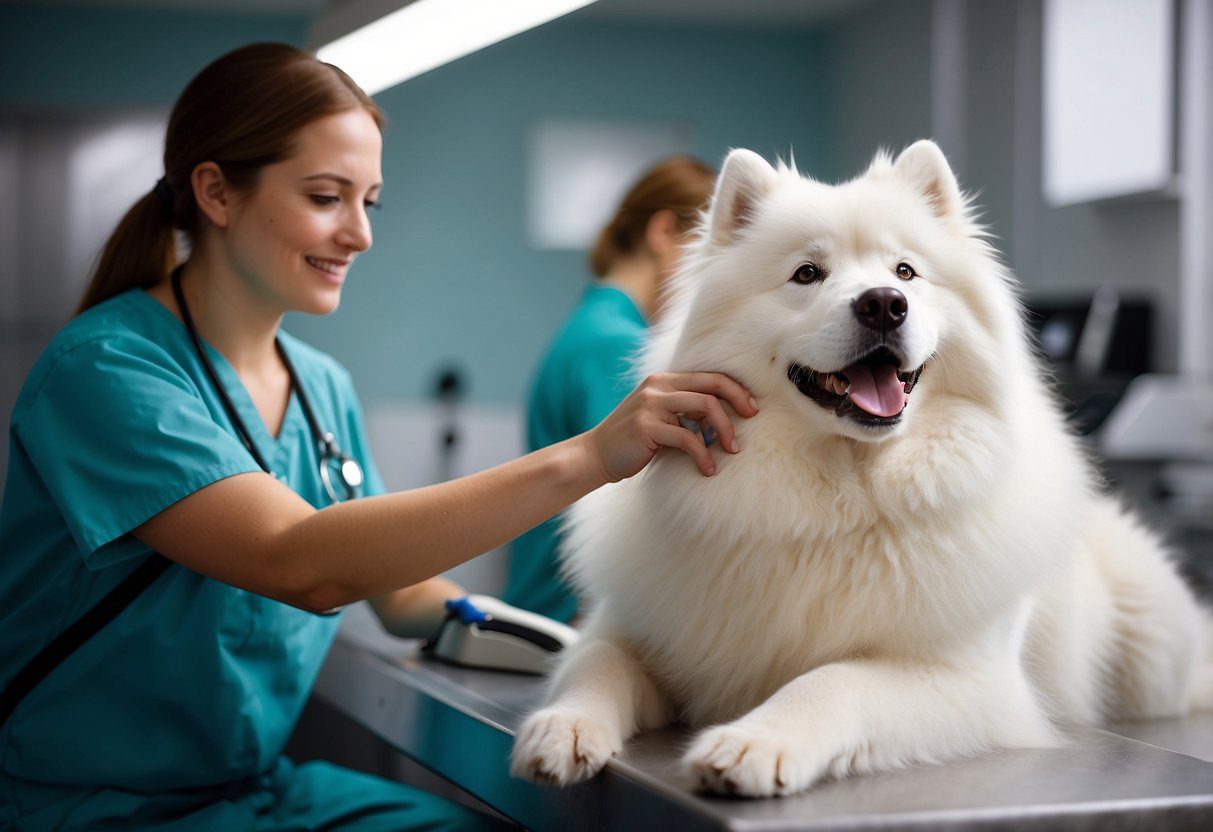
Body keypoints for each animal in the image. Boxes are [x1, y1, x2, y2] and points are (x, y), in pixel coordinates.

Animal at [511, 143, 1213, 800]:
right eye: (807, 273)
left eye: (905, 271)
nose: (883, 304)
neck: (844, 494)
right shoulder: (633, 628)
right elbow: (596, 662)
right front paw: (561, 728)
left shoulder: (967, 680)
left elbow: (833, 680)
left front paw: (754, 743)